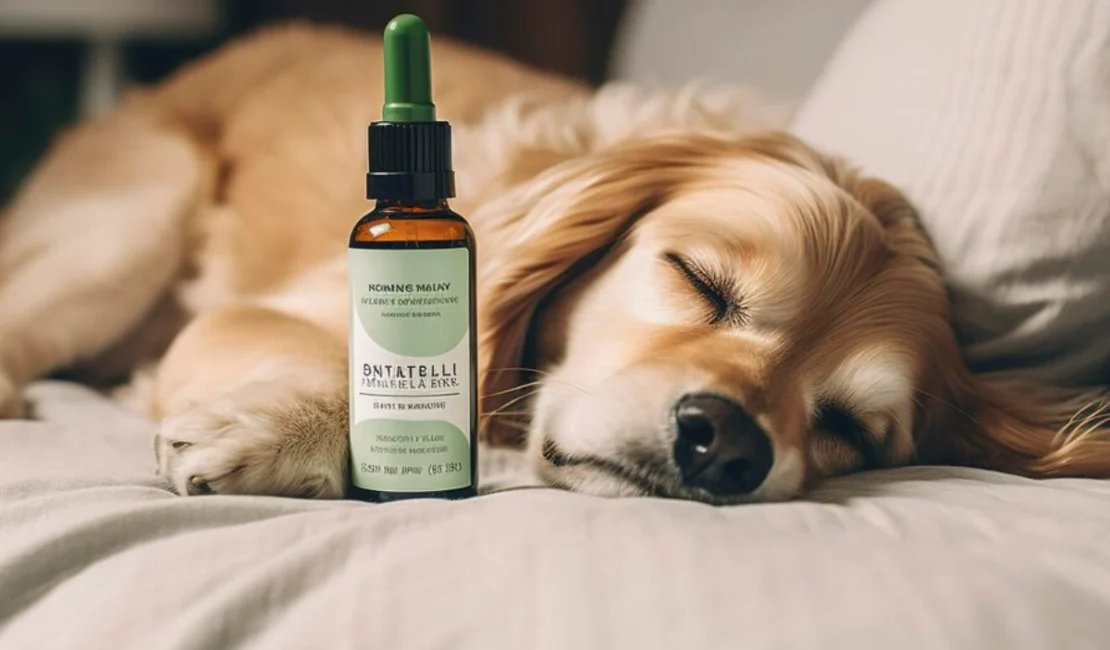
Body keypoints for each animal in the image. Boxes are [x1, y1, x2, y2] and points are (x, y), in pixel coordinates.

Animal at [2, 23, 1110, 501]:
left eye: (848, 429)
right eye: (699, 280)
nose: (726, 444)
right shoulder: (260, 310)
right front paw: (279, 428)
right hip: (138, 212)